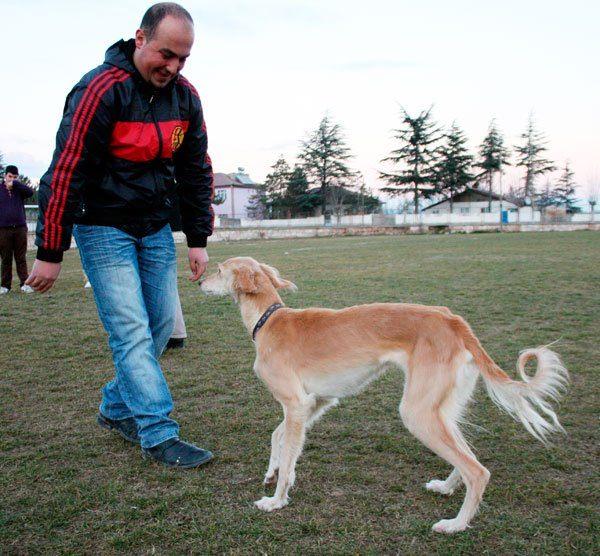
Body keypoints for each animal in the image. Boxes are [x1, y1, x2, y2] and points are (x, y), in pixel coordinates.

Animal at [200, 258, 568, 536]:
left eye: (218, 269)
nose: (199, 281)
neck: (268, 320)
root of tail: (452, 320)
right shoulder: (316, 401)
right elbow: (278, 436)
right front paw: (272, 470)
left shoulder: (296, 403)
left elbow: (289, 451)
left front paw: (276, 500)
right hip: (439, 407)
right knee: (467, 456)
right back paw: (447, 487)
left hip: (417, 412)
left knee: (478, 472)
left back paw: (455, 524)